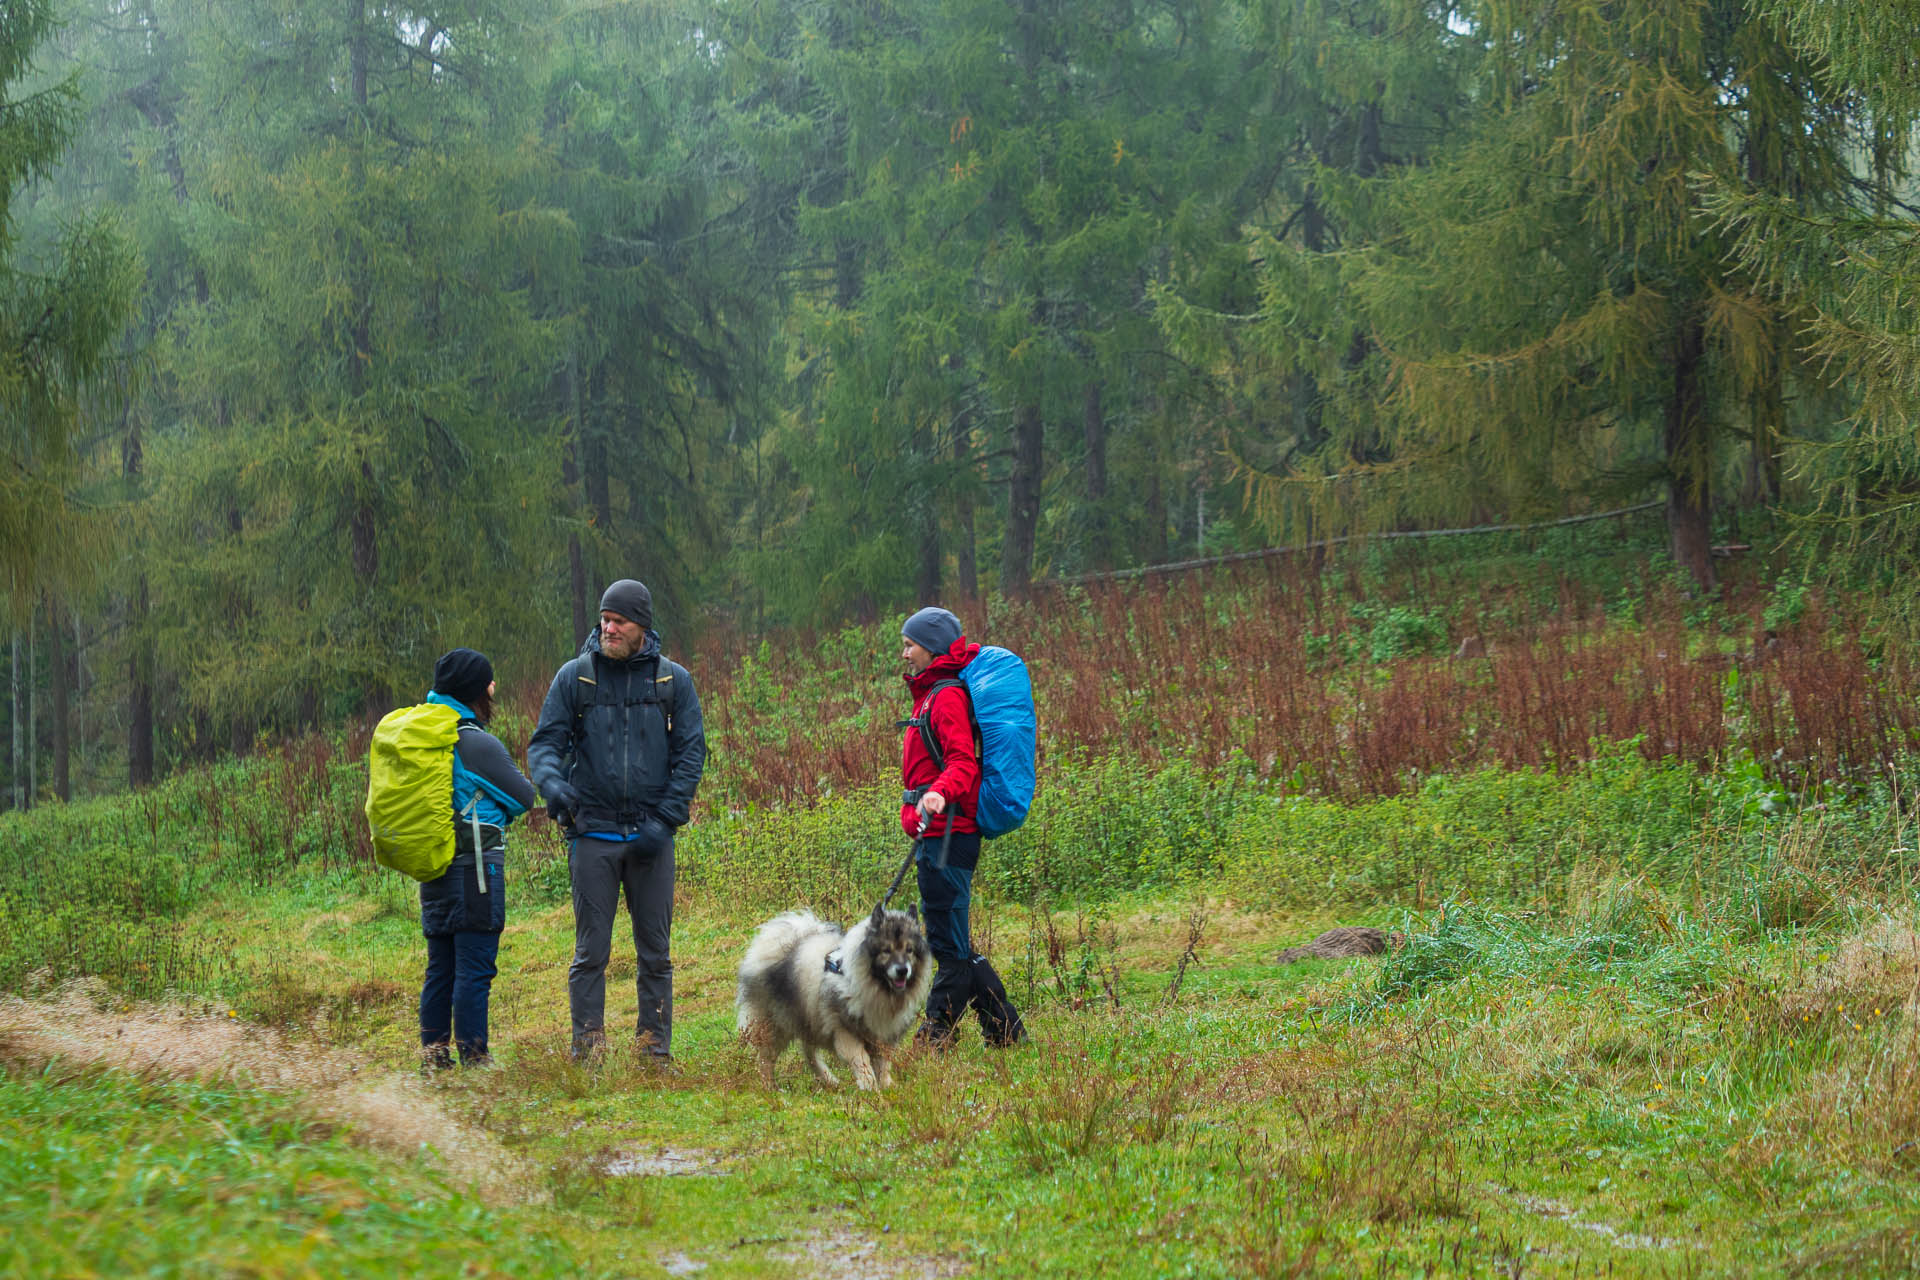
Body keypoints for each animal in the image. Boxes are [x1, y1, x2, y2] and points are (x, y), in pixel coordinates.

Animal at [737, 901, 933, 1090]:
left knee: (809, 1052)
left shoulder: (884, 1036)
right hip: (777, 1025)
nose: (902, 970)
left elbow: (884, 1064)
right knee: (766, 1059)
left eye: (909, 950)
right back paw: (771, 1089)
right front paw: (870, 1087)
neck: (879, 990)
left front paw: (886, 1087)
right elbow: (861, 1060)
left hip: (809, 1017)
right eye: (886, 950)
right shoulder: (844, 1031)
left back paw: (828, 1080)